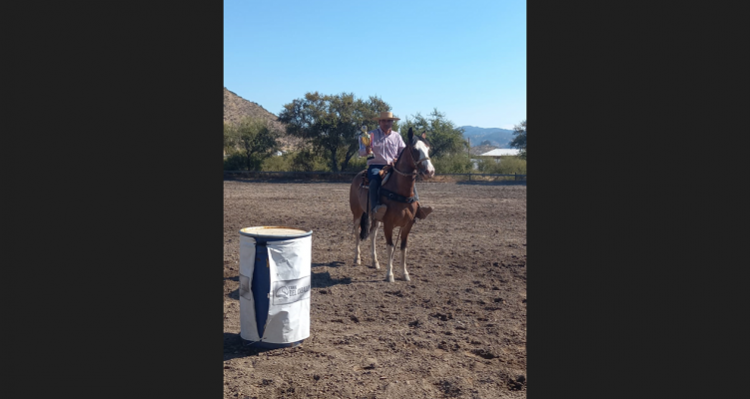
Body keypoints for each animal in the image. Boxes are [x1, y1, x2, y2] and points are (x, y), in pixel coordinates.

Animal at [346, 127, 434, 282]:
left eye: (428, 149)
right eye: (415, 149)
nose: (430, 171)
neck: (400, 191)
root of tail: (358, 176)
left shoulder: (408, 224)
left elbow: (403, 247)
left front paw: (405, 274)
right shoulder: (388, 224)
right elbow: (390, 246)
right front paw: (390, 275)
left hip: (375, 217)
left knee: (373, 234)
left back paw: (375, 262)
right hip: (357, 213)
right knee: (357, 231)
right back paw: (357, 258)